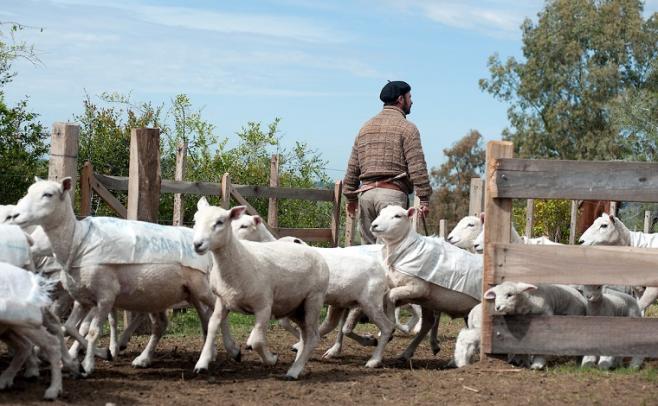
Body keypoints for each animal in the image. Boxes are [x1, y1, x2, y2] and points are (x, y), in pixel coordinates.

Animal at [12, 179, 218, 376]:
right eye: (29, 191)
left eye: (48, 194)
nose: (16, 215)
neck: (78, 242)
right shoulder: (82, 299)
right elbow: (70, 327)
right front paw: (99, 354)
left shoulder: (105, 296)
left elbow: (91, 330)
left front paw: (88, 364)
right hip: (164, 294)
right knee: (169, 323)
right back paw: (144, 358)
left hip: (200, 289)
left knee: (212, 313)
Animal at [192, 198, 330, 380]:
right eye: (195, 220)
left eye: (220, 222)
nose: (197, 244)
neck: (239, 261)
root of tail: (314, 251)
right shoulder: (222, 301)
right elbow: (212, 326)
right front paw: (202, 362)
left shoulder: (264, 306)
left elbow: (256, 341)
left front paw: (271, 359)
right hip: (295, 306)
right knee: (306, 334)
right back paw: (297, 358)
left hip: (313, 299)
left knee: (313, 337)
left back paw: (293, 371)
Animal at [368, 206, 482, 362]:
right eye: (380, 213)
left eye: (397, 216)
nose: (374, 225)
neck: (407, 250)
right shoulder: (415, 294)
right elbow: (388, 298)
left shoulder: (418, 289)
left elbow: (390, 296)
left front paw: (393, 324)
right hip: (431, 301)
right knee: (428, 323)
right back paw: (410, 352)